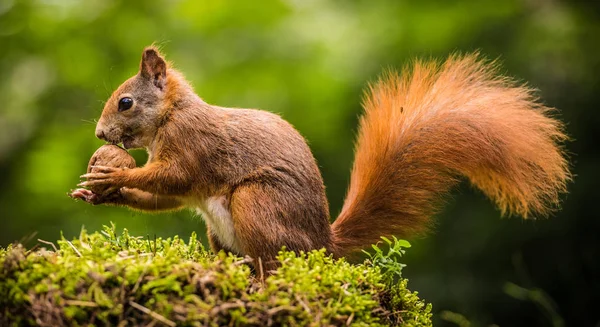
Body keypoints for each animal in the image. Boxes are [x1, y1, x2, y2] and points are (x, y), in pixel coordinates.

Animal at [69, 46, 568, 272]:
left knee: (275, 262)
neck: (171, 115)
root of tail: (323, 245)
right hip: (221, 231)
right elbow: (168, 199)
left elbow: (172, 177)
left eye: (126, 103)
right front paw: (100, 193)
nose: (99, 135)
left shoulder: (194, 146)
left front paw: (108, 177)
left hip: (257, 202)